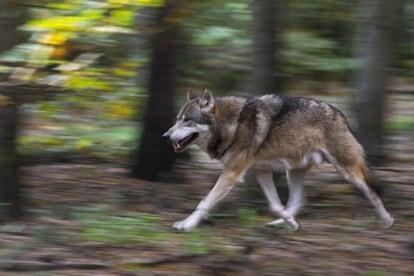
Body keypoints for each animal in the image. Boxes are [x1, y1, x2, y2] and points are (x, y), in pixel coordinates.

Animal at [162, 89, 394, 231]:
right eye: (176, 119)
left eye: (187, 120)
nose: (165, 135)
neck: (231, 125)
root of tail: (341, 115)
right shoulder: (261, 172)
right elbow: (274, 204)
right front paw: (290, 223)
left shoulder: (233, 173)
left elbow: (205, 202)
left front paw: (186, 224)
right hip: (293, 172)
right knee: (298, 201)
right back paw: (284, 223)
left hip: (347, 170)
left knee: (372, 191)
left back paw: (387, 220)